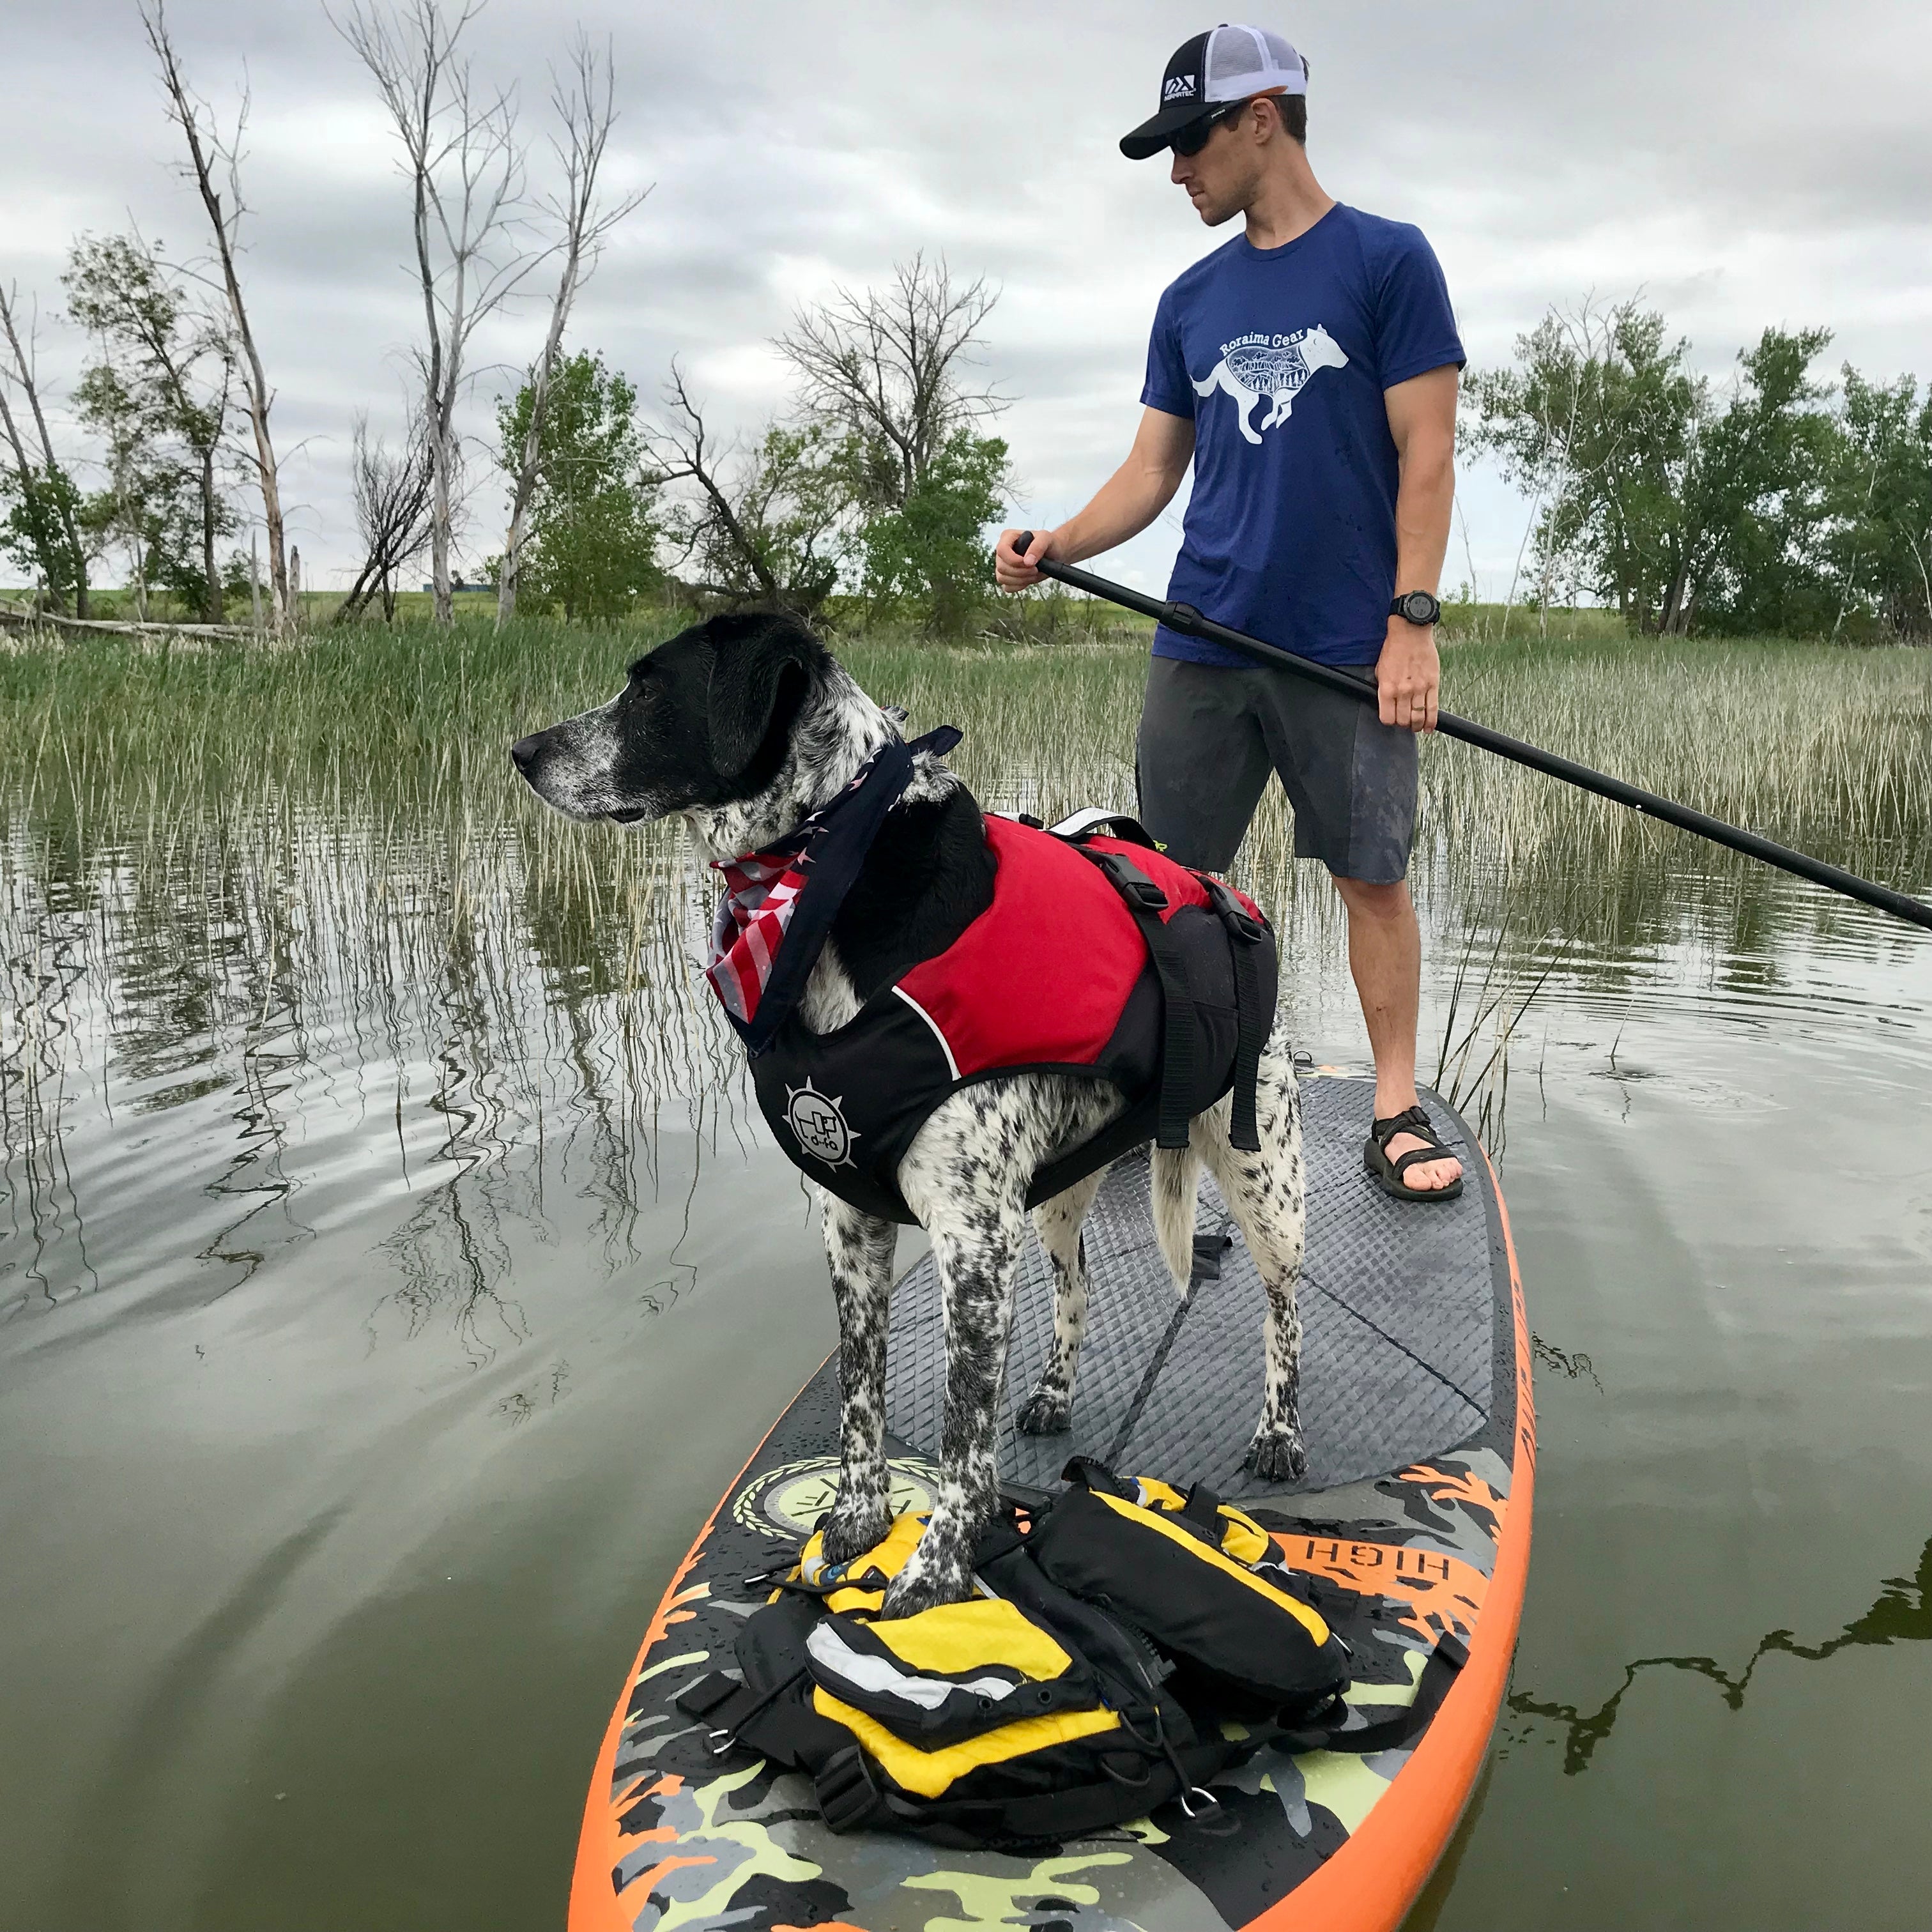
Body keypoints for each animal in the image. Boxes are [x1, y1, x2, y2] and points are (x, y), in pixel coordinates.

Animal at [514, 610, 1306, 1607]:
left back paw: (1279, 1432)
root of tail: (1215, 890)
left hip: (1262, 1180)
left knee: (1285, 1313)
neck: (828, 872)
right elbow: (862, 1397)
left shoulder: (972, 1243)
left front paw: (936, 1571)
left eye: (650, 686)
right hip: (1058, 1198)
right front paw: (857, 1521)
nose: (522, 752)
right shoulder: (854, 1226)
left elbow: (965, 1441)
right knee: (1078, 1286)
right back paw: (1053, 1392)